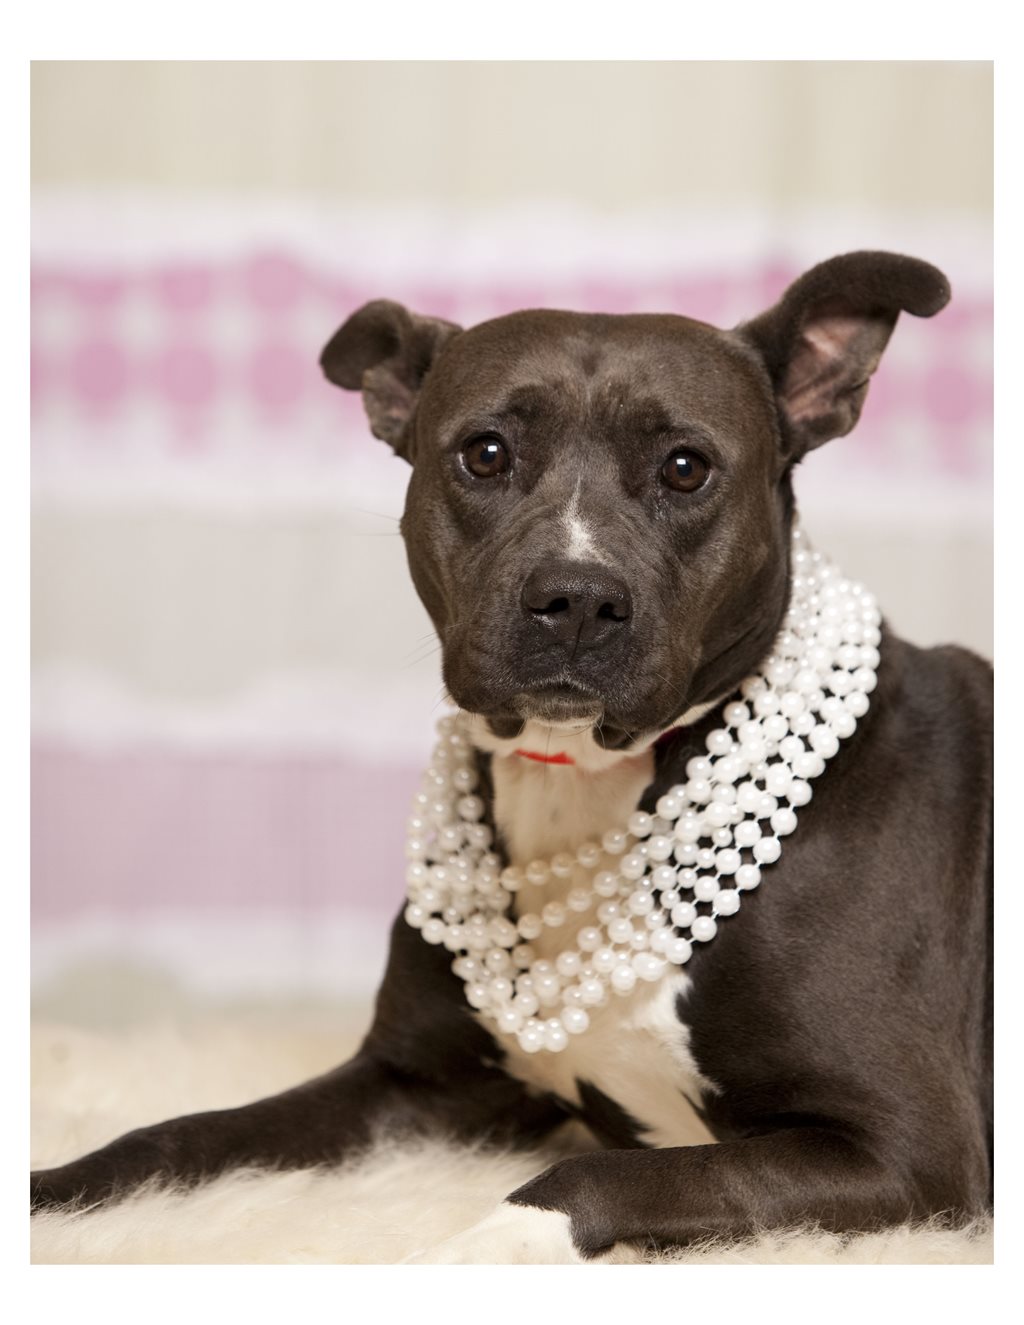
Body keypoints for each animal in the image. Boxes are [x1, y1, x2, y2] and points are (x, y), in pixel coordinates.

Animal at [31, 250, 990, 1261]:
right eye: (485, 453)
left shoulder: (907, 1151)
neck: (579, 779)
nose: (577, 598)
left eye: (686, 468)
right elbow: (185, 1132)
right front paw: (59, 1190)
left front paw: (476, 1246)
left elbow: (596, 1174)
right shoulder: (409, 1084)